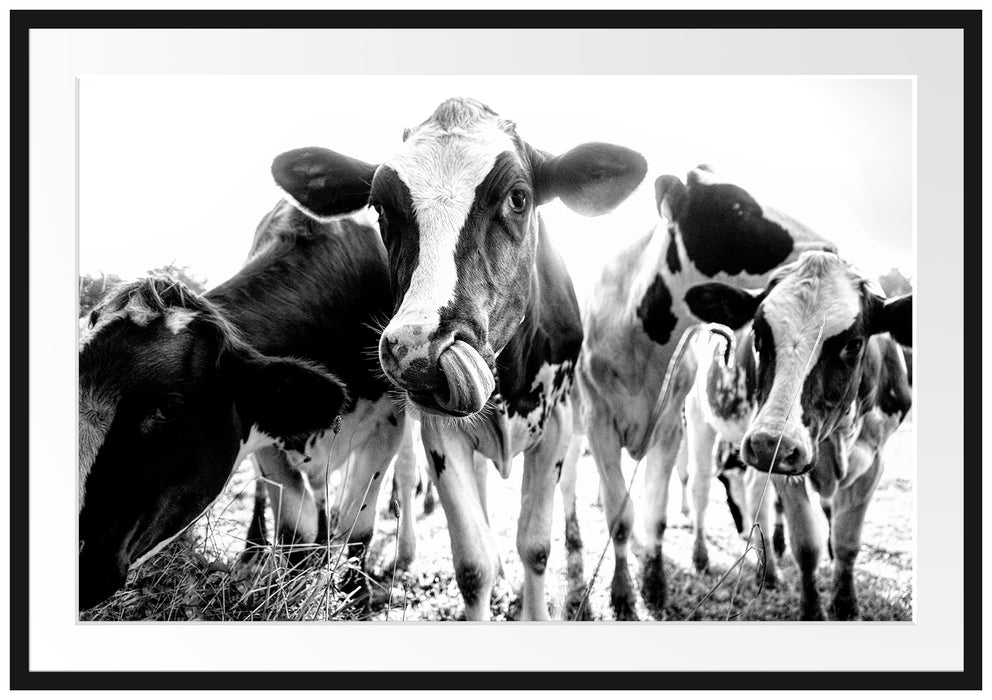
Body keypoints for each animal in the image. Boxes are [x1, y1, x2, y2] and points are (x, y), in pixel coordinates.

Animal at [78, 200, 414, 608]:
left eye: (167, 408)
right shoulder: (267, 437)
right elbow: (295, 528)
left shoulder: (387, 426)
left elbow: (357, 526)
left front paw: (357, 596)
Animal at [272, 97, 648, 616]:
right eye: (380, 207)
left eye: (518, 197)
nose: (418, 350)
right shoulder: (440, 432)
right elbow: (472, 565)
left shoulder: (558, 424)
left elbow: (535, 546)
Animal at [576, 165, 832, 616]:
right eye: (737, 206)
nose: (827, 249)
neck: (644, 339)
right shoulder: (598, 423)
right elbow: (619, 516)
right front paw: (623, 593)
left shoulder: (668, 427)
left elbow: (654, 514)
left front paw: (655, 585)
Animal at [684, 250, 912, 616]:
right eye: (758, 335)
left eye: (854, 344)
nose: (768, 444)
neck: (835, 440)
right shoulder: (784, 465)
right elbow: (806, 544)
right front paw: (812, 610)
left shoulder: (872, 459)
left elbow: (847, 541)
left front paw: (845, 604)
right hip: (702, 422)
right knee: (701, 489)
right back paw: (702, 556)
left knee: (753, 492)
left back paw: (768, 570)